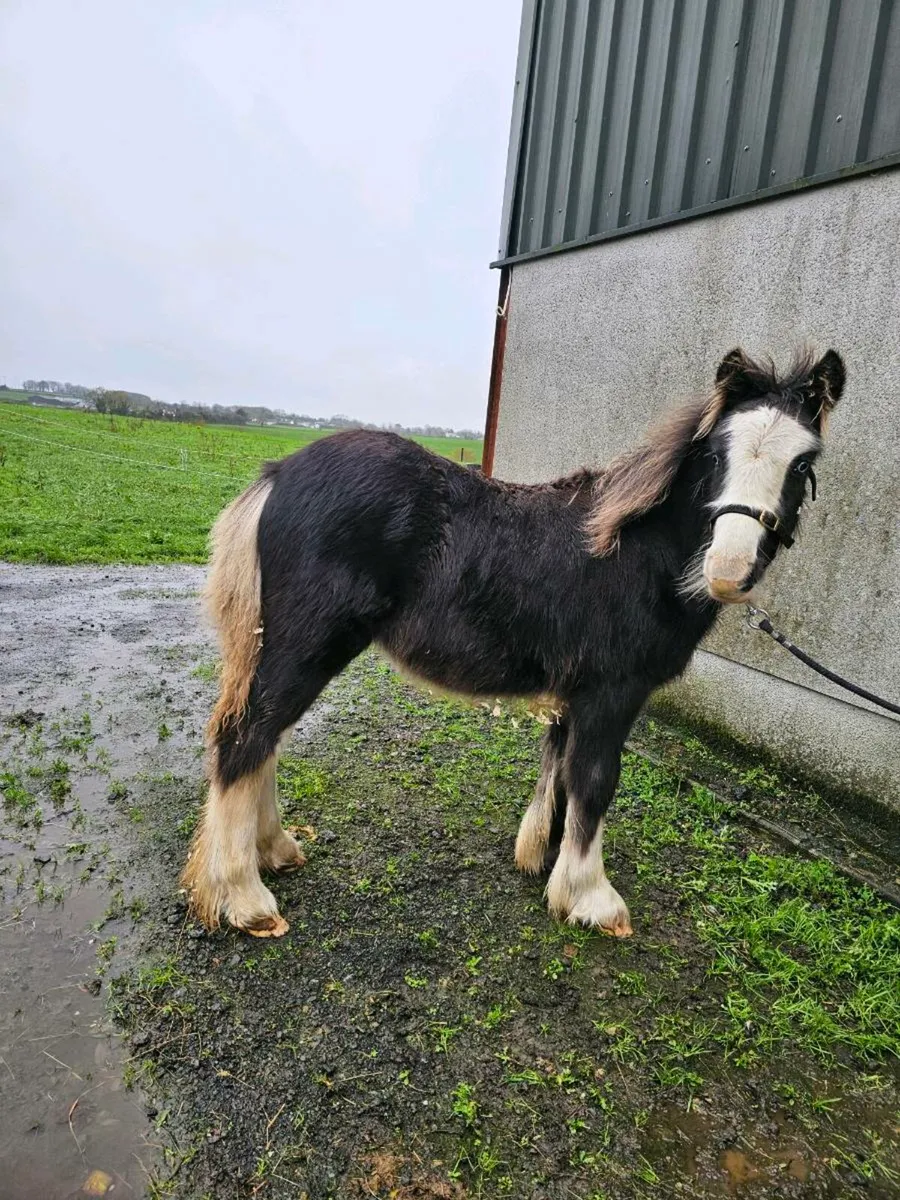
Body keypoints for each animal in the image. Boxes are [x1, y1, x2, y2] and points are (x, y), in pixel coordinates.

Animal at [181, 347, 845, 938]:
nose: (728, 570)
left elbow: (562, 771)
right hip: (307, 646)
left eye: (802, 464)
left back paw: (275, 850)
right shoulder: (612, 693)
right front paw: (590, 897)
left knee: (264, 739)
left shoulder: (575, 693)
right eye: (714, 453)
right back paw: (245, 897)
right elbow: (595, 779)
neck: (635, 550)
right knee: (247, 738)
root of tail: (279, 475)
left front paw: (543, 859)